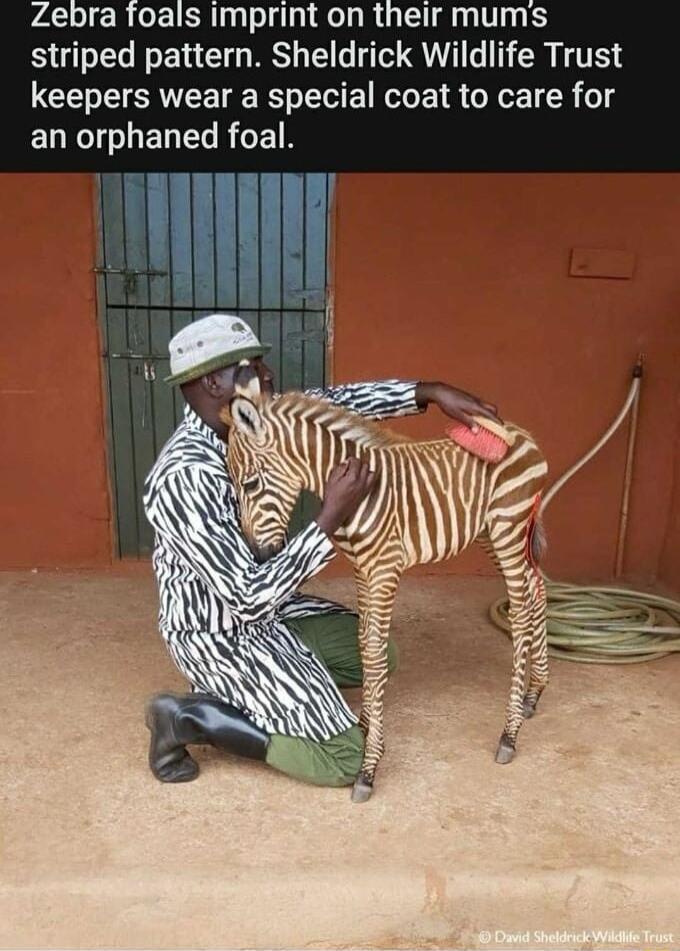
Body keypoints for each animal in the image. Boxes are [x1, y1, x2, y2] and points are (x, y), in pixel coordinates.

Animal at [226, 376, 548, 800]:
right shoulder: (364, 570)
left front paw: (369, 766)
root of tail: (521, 433)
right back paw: (535, 692)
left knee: (522, 612)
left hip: (507, 527)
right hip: (491, 534)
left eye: (249, 483)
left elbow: (377, 655)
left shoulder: (383, 569)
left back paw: (509, 733)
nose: (259, 556)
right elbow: (364, 645)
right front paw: (364, 725)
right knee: (537, 589)